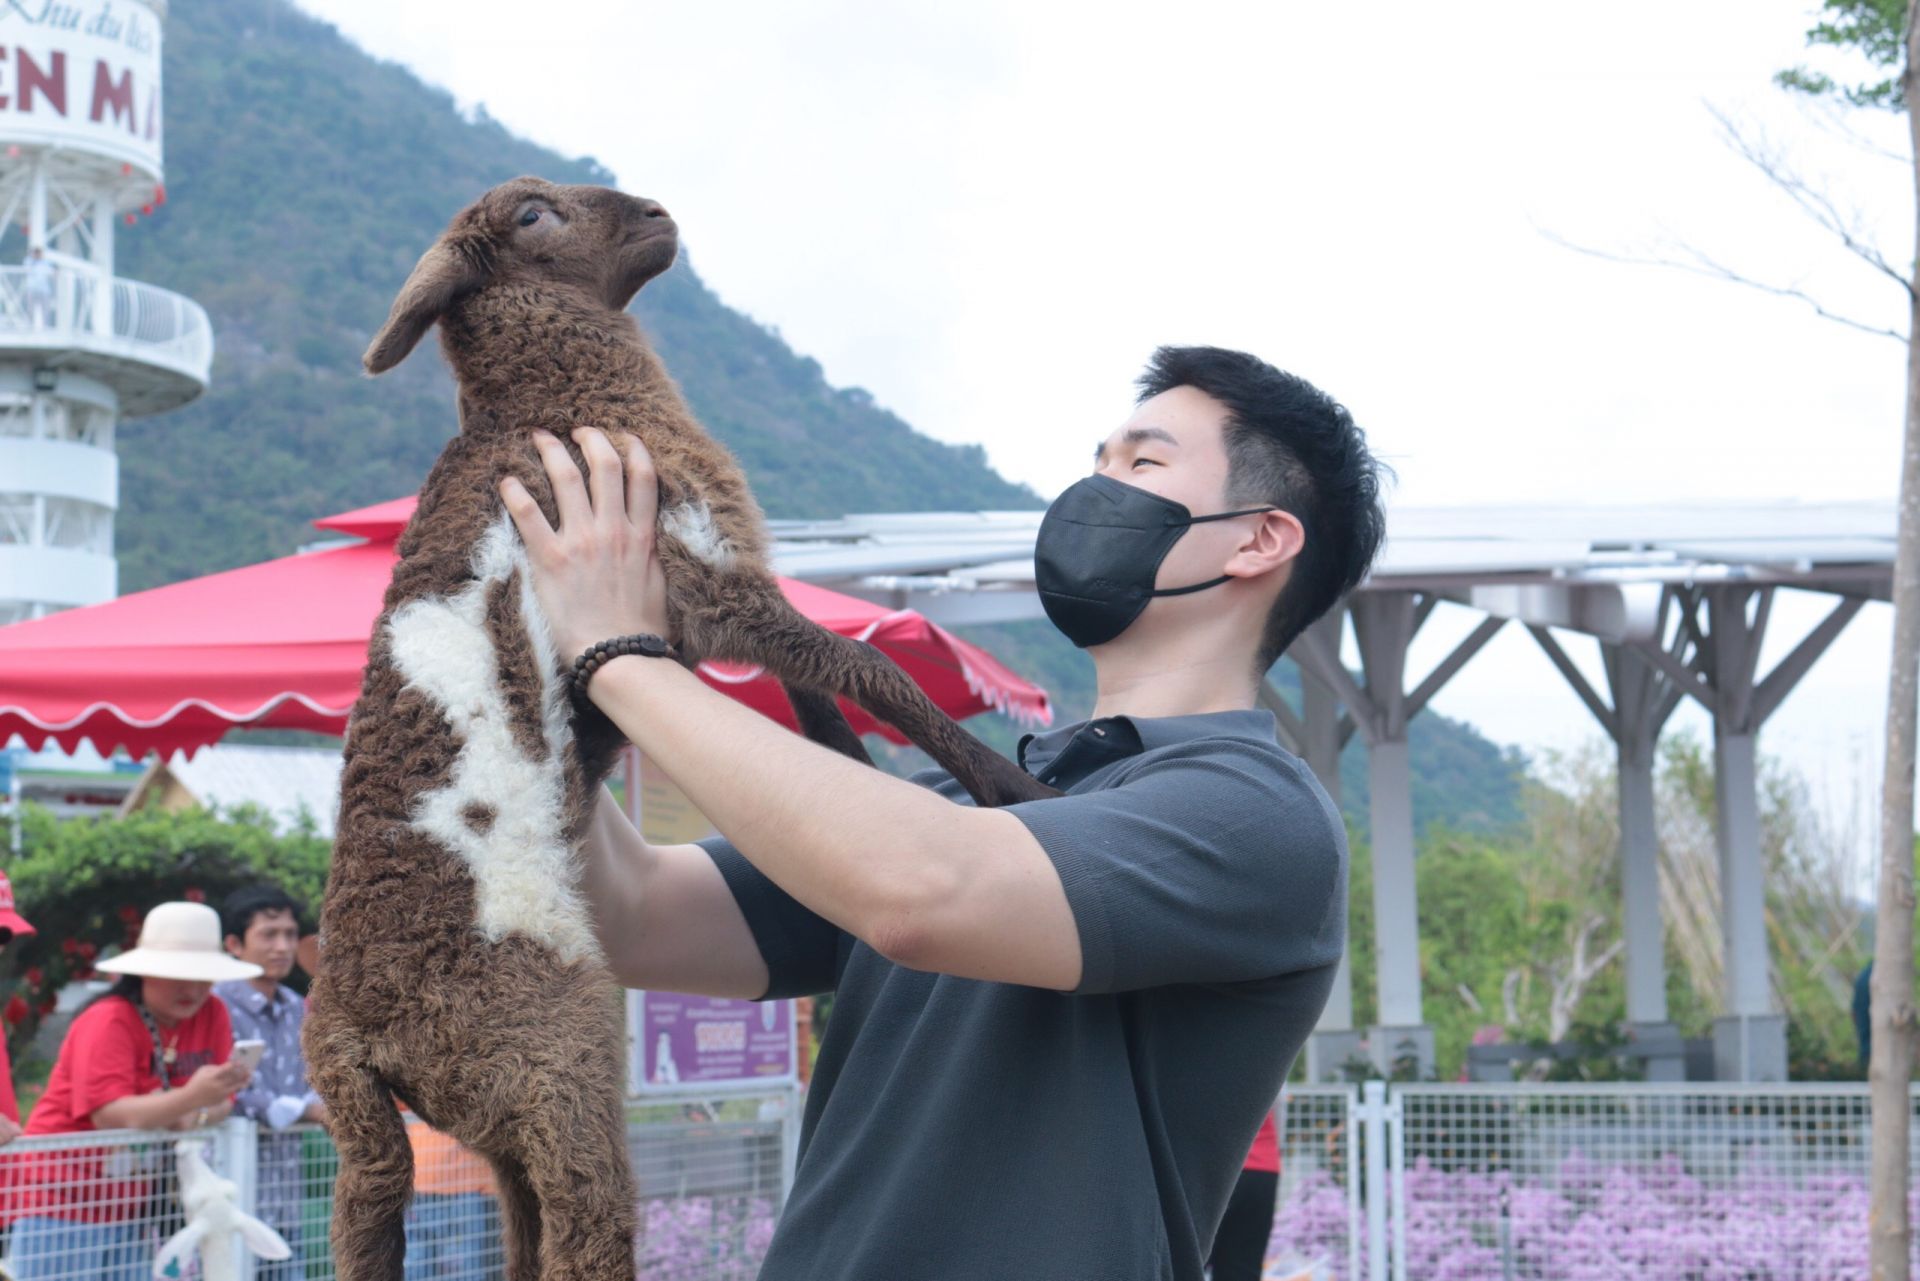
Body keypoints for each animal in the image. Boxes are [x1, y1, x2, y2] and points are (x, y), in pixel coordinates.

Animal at [311, 177, 1067, 1281]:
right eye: (533, 216)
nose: (658, 214)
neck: (545, 402)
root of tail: (359, 1040)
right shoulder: (701, 569)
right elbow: (866, 668)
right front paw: (1013, 788)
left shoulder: (707, 599)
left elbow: (813, 690)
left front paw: (859, 775)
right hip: (558, 1059)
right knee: (582, 1230)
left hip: (456, 1131)